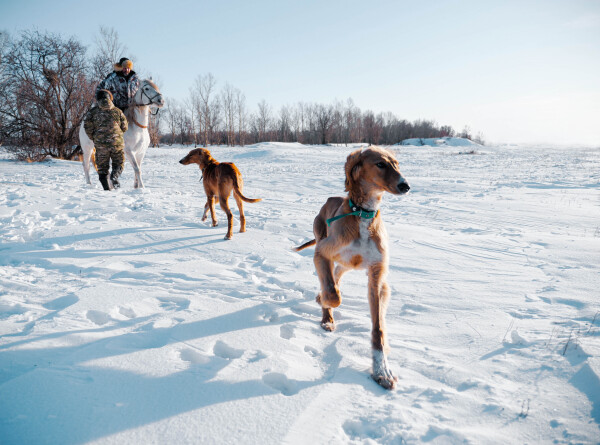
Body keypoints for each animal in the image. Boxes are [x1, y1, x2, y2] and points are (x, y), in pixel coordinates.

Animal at [294, 147, 410, 388]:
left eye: (397, 164)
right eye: (380, 164)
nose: (405, 185)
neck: (362, 214)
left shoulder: (376, 275)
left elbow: (378, 328)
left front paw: (382, 370)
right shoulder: (321, 253)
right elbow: (332, 295)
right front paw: (325, 304)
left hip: (349, 263)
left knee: (337, 273)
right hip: (323, 243)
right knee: (330, 282)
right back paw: (326, 319)